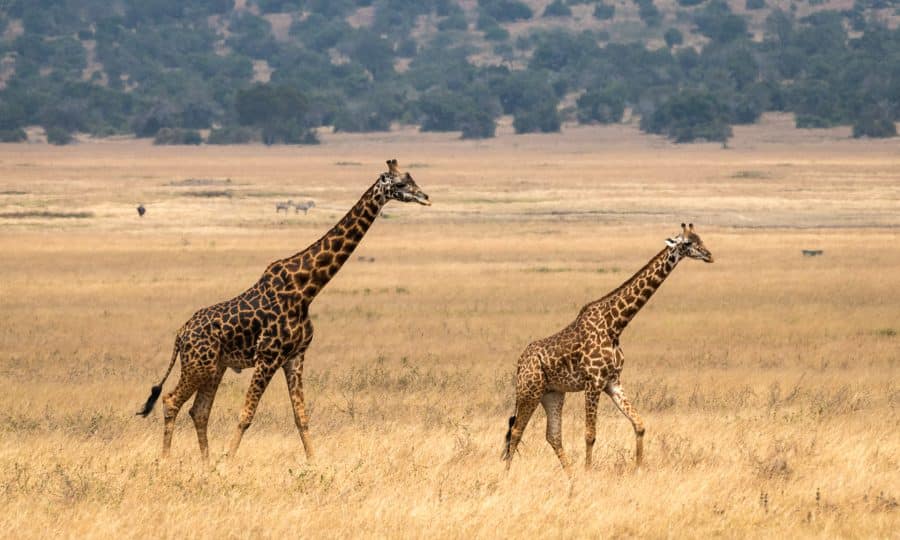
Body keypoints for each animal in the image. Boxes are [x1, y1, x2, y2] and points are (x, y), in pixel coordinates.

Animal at [137, 159, 430, 460]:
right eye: (400, 184)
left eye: (412, 179)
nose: (425, 197)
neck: (306, 290)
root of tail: (180, 334)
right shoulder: (268, 356)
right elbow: (246, 415)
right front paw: (228, 461)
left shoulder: (295, 357)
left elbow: (301, 417)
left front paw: (313, 463)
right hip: (198, 364)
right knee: (171, 401)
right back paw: (166, 460)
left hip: (215, 366)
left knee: (199, 411)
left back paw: (205, 463)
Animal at [501, 223, 713, 473]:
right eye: (688, 243)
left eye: (701, 238)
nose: (709, 255)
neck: (615, 326)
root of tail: (519, 362)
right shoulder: (593, 383)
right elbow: (590, 434)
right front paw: (588, 472)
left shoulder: (612, 382)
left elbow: (639, 424)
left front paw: (638, 469)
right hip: (529, 390)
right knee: (516, 431)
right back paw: (507, 475)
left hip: (552, 393)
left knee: (552, 435)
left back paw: (570, 475)